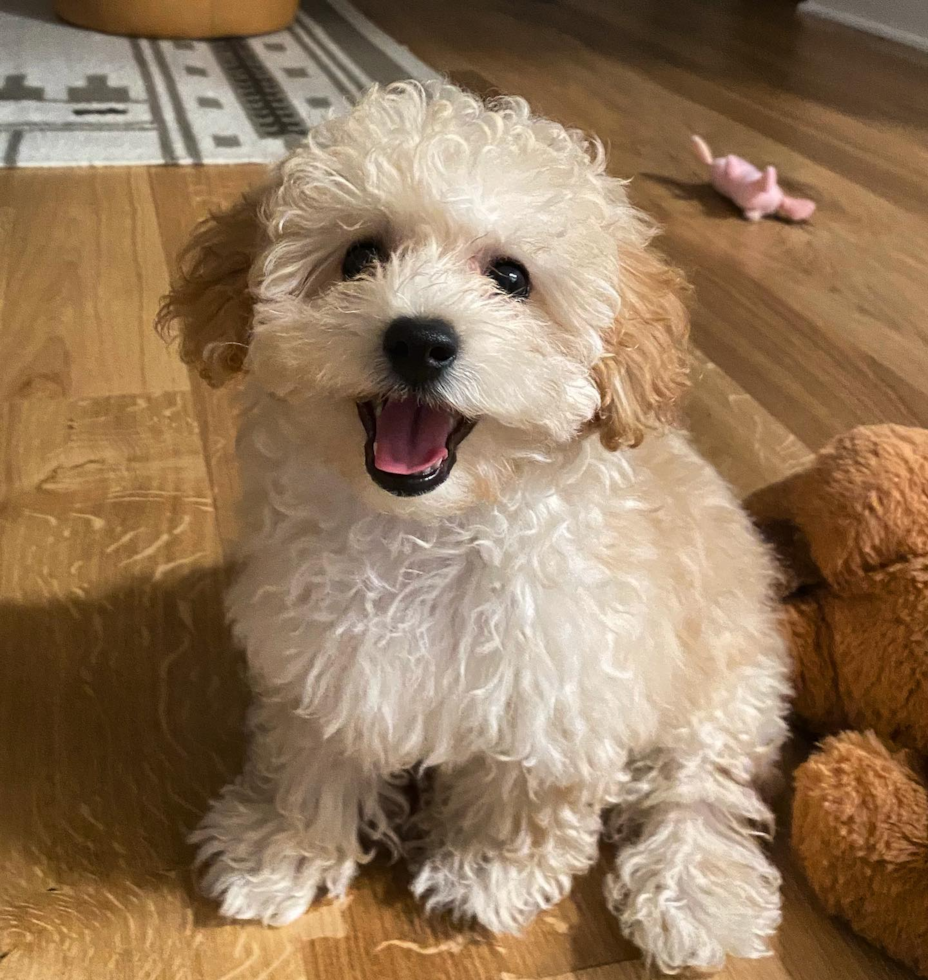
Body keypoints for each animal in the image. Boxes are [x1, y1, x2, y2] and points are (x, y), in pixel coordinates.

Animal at [158, 82, 792, 972]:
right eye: (359, 257)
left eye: (511, 277)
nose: (420, 340)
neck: (426, 532)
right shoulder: (324, 657)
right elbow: (307, 755)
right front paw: (279, 849)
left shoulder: (565, 684)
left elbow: (525, 794)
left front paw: (489, 872)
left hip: (728, 682)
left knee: (696, 787)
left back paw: (695, 894)